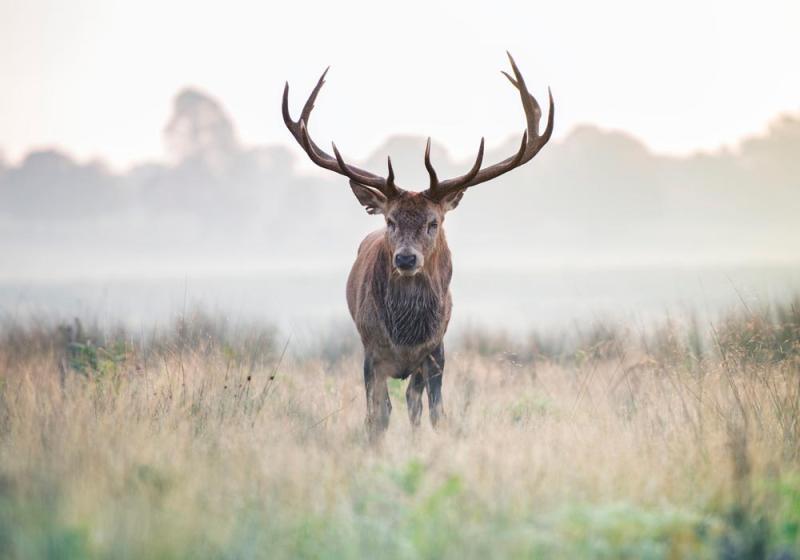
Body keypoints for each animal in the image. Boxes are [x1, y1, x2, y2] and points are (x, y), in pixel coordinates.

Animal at [282, 53, 553, 441]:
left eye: (432, 222)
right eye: (390, 221)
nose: (406, 258)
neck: (406, 335)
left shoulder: (436, 349)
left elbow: (434, 411)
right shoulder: (371, 349)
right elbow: (377, 414)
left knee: (413, 401)